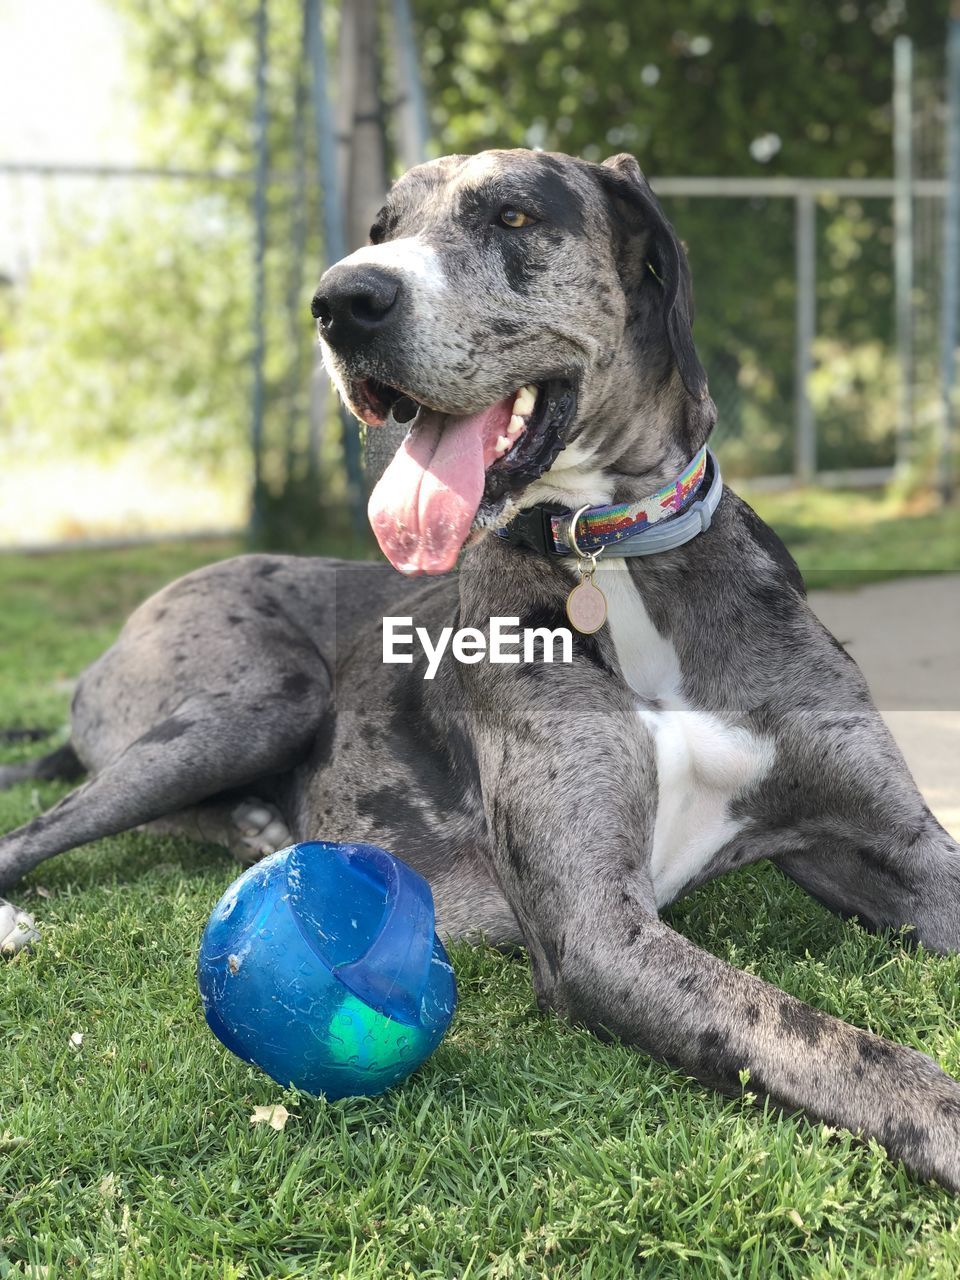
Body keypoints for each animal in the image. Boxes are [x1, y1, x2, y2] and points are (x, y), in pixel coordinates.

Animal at [1, 147, 960, 1187]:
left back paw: (257, 824)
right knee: (37, 827)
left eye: (513, 215)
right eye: (380, 231)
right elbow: (822, 1040)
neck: (611, 552)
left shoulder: (899, 846)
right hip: (259, 696)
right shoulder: (599, 933)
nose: (341, 301)